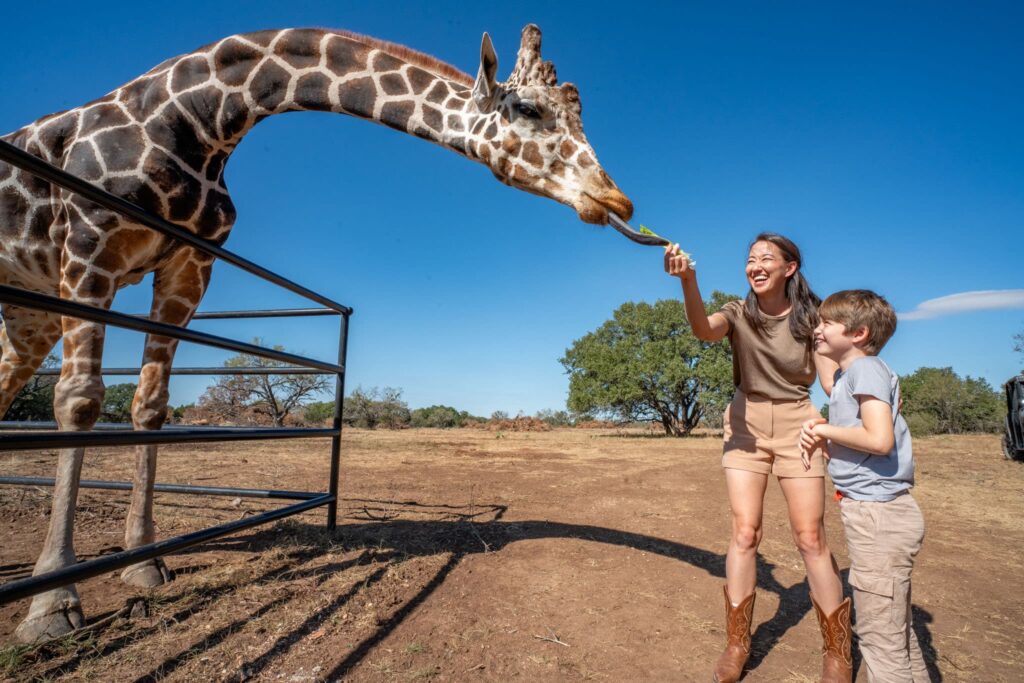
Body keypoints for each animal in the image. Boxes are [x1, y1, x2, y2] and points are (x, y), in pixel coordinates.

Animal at [0, 24, 633, 642]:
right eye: (528, 108)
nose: (616, 198)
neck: (203, 121)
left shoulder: (187, 267)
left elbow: (150, 407)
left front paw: (144, 562)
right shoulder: (90, 247)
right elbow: (80, 401)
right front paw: (53, 601)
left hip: (29, 311)